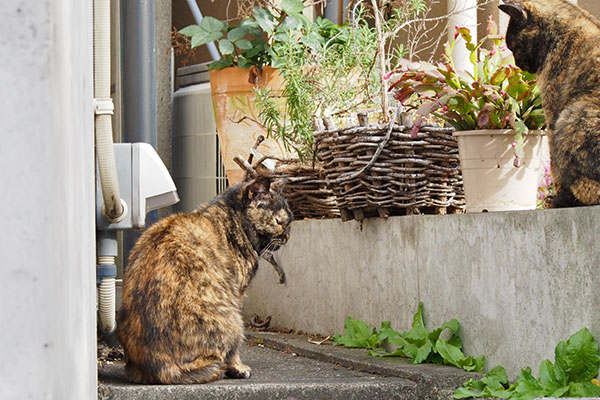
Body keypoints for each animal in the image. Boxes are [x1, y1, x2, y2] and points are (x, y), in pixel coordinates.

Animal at [116, 178, 290, 384]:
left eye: (289, 223)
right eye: (279, 222)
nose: (287, 236)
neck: (230, 217)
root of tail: (161, 367)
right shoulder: (237, 294)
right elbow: (234, 352)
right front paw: (239, 367)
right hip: (233, 319)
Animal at [500, 0, 600, 206]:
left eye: (512, 46)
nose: (517, 64)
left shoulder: (553, 112)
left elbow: (555, 166)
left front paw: (557, 195)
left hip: (572, 115)